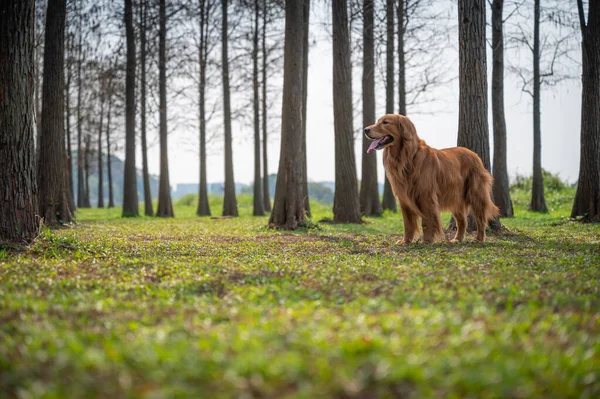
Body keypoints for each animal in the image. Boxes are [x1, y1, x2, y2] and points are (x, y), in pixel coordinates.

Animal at [364, 113, 500, 244]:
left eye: (385, 122)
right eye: (378, 121)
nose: (365, 129)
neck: (406, 157)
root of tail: (474, 154)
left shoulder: (426, 196)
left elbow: (427, 221)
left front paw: (427, 241)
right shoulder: (404, 199)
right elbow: (407, 224)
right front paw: (406, 241)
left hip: (475, 194)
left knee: (481, 219)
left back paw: (479, 238)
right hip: (456, 198)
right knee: (462, 221)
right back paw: (457, 239)